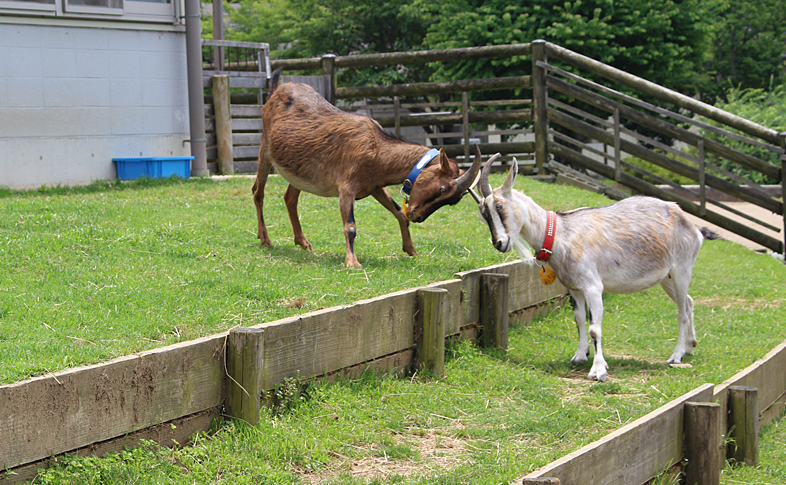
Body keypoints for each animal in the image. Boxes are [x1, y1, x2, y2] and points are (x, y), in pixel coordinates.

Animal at [254, 68, 480, 266]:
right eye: (442, 189)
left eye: (452, 201)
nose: (418, 217)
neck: (379, 149)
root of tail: (276, 91)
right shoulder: (346, 188)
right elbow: (351, 226)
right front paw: (352, 262)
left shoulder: (374, 187)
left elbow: (399, 212)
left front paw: (411, 251)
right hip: (265, 150)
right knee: (258, 192)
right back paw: (265, 239)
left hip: (298, 168)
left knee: (290, 198)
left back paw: (302, 242)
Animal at [474, 157, 712, 380]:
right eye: (483, 214)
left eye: (499, 206)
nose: (499, 243)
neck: (561, 234)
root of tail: (693, 227)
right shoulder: (574, 288)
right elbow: (579, 320)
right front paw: (580, 356)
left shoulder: (593, 287)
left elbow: (594, 329)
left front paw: (598, 370)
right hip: (666, 278)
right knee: (688, 302)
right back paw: (690, 346)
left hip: (682, 269)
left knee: (682, 311)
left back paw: (676, 356)